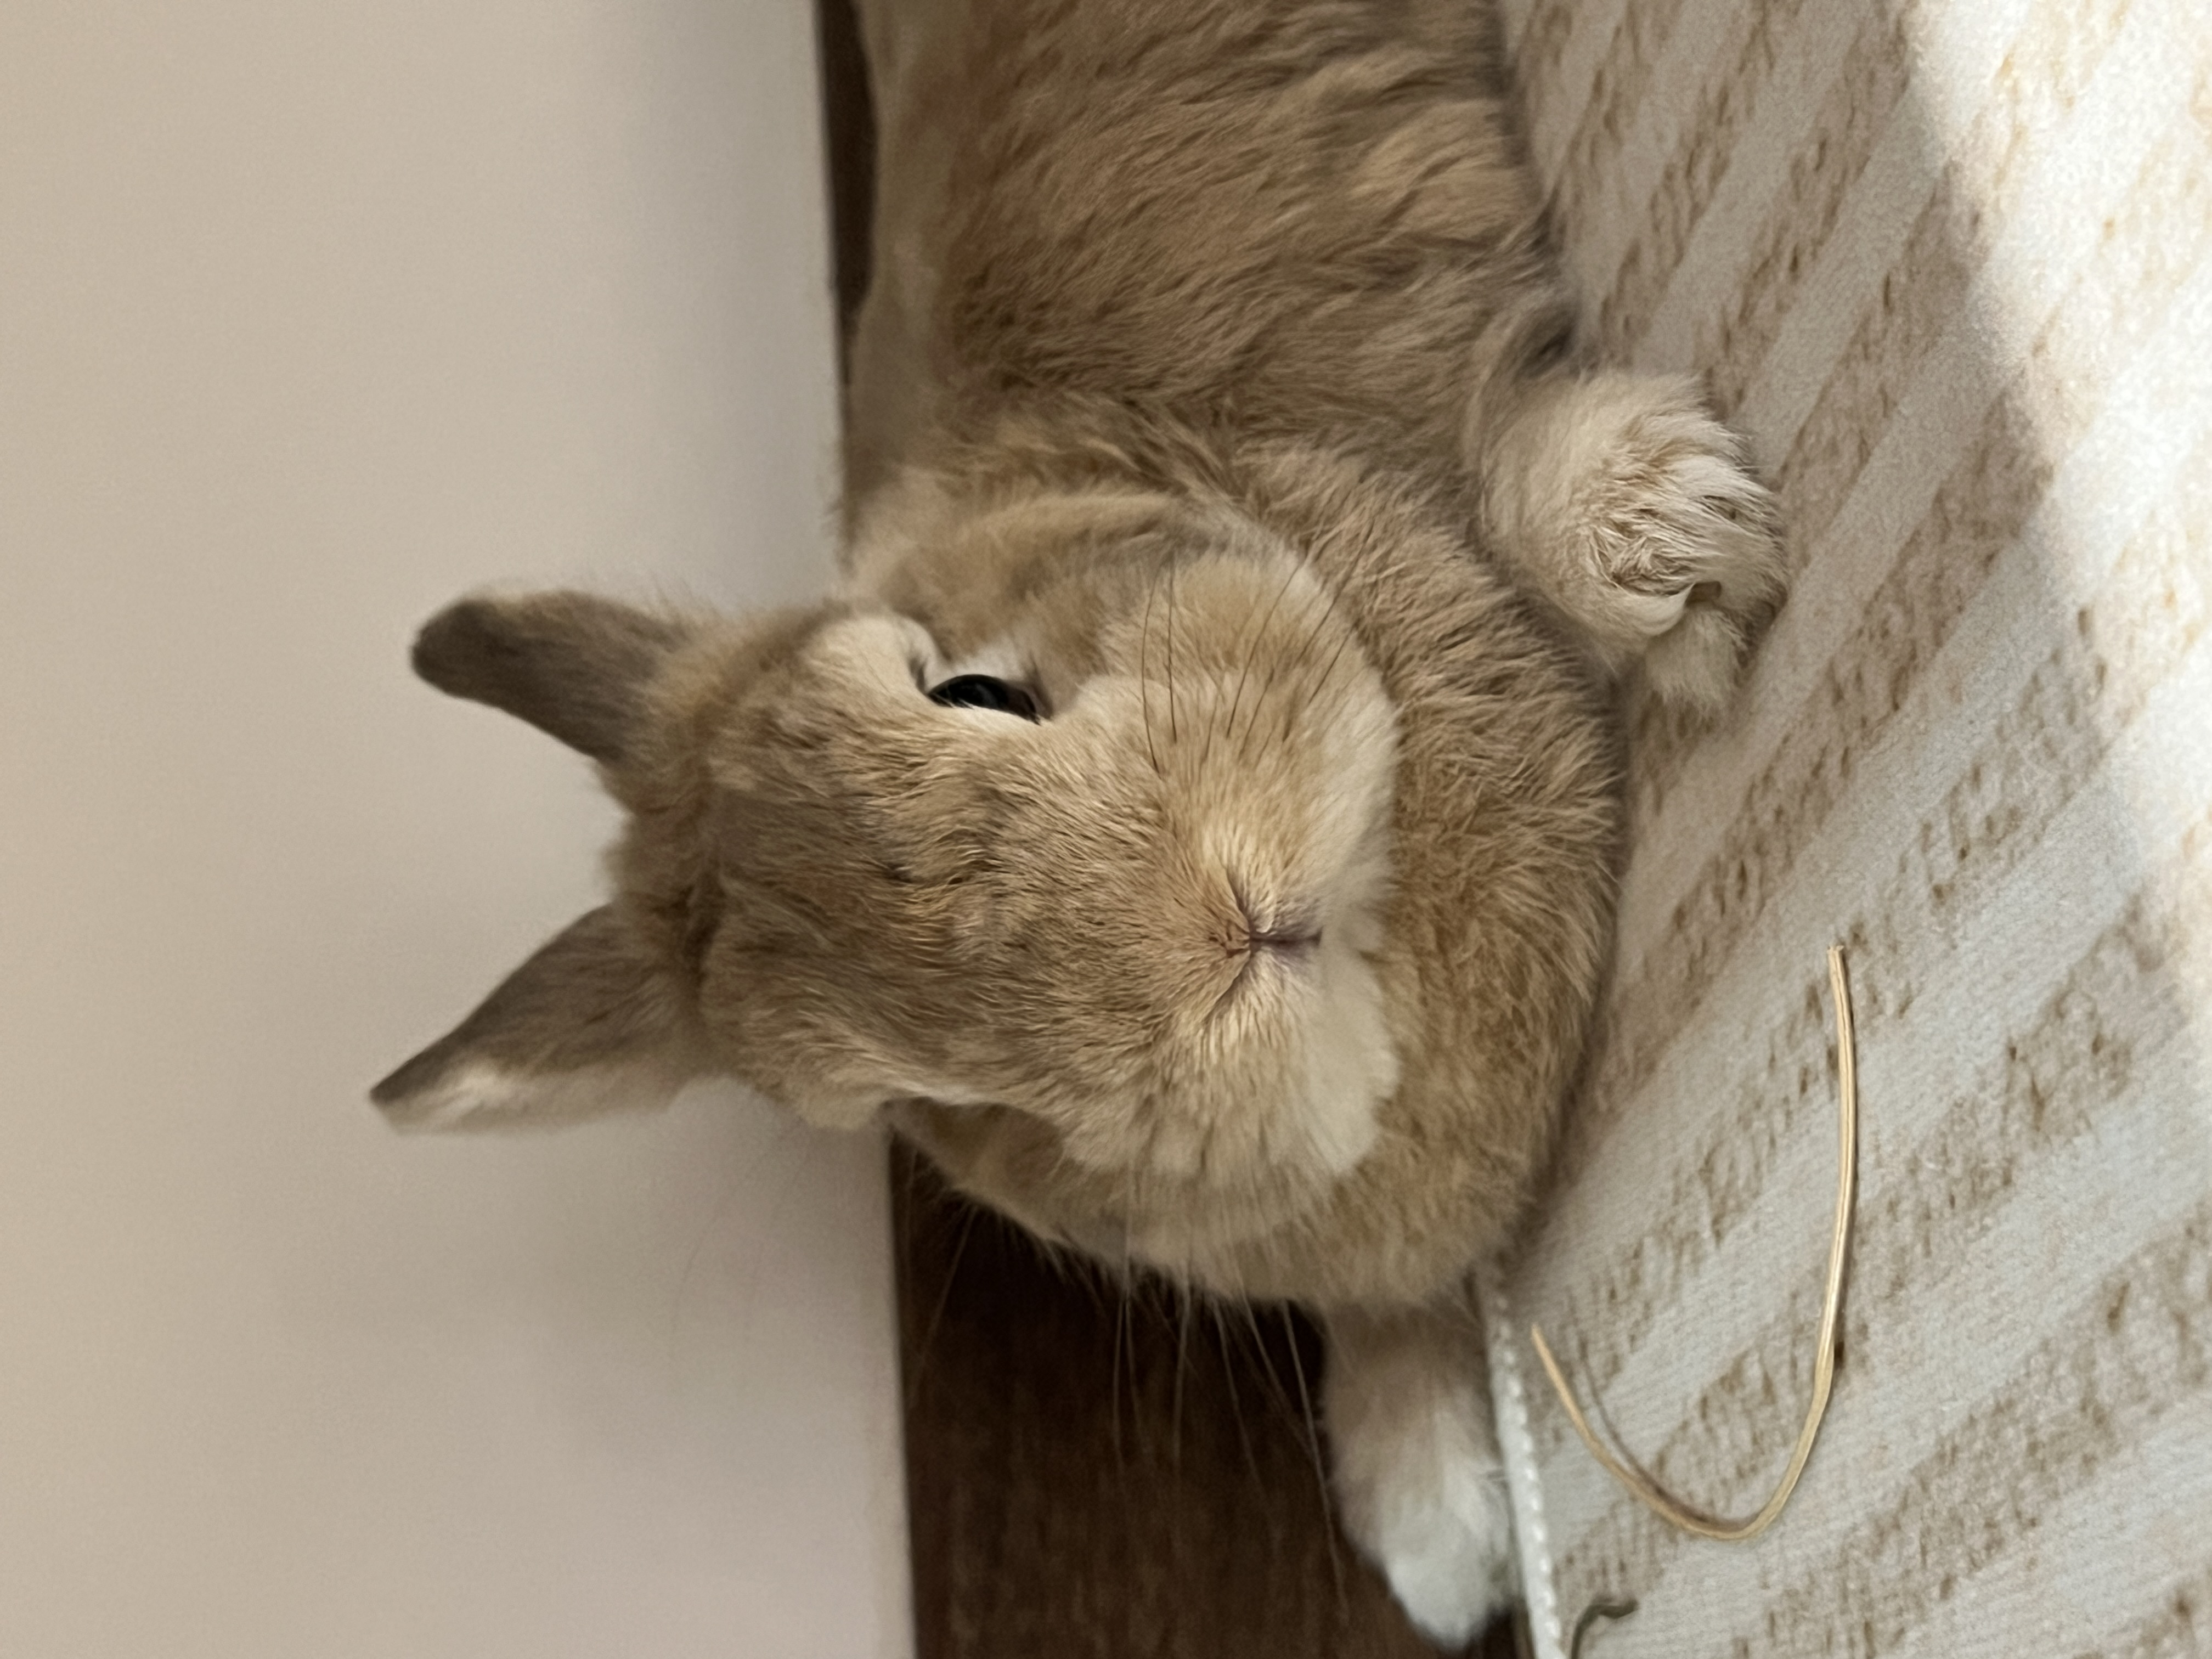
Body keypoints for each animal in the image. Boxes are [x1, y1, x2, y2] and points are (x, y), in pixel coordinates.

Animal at [372, 0, 1783, 1643]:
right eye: (916, 1097)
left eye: (976, 691)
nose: (1220, 943)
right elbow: (1389, 1308)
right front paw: (1436, 1537)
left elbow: (1507, 480)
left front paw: (1670, 537)